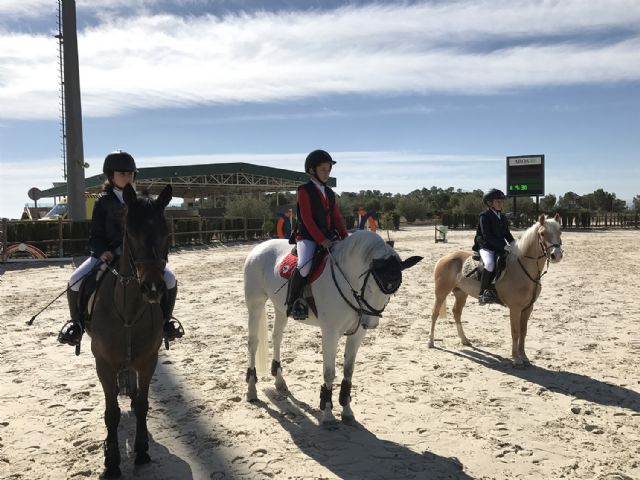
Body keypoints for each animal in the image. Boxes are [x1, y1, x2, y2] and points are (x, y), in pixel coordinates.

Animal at [89, 183, 172, 476]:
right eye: (131, 233)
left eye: (165, 232)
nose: (153, 288)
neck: (128, 313)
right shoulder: (103, 364)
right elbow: (111, 412)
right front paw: (112, 461)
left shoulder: (148, 361)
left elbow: (142, 405)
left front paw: (142, 450)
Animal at [242, 231, 422, 426]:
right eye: (370, 288)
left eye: (394, 291)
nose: (371, 324)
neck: (348, 280)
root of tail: (259, 247)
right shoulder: (330, 333)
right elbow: (329, 373)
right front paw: (328, 414)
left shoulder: (357, 334)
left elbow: (348, 371)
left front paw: (347, 411)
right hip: (256, 304)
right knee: (253, 343)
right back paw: (252, 390)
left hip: (281, 308)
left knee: (277, 337)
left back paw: (280, 381)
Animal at [430, 214, 560, 368]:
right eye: (542, 234)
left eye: (560, 232)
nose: (557, 255)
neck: (523, 269)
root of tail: (443, 258)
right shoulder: (515, 308)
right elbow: (515, 332)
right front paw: (516, 359)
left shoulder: (528, 308)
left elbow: (523, 332)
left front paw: (524, 357)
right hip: (441, 293)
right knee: (434, 314)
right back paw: (431, 342)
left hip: (461, 293)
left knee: (457, 313)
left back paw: (465, 340)